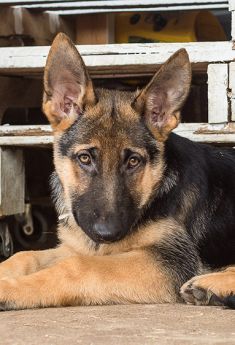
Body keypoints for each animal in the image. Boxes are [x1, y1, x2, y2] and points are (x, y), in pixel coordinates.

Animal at [0, 33, 233, 310]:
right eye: (85, 158)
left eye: (133, 161)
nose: (107, 233)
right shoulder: (79, 246)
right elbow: (24, 256)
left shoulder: (168, 261)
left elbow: (76, 266)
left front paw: (9, 288)